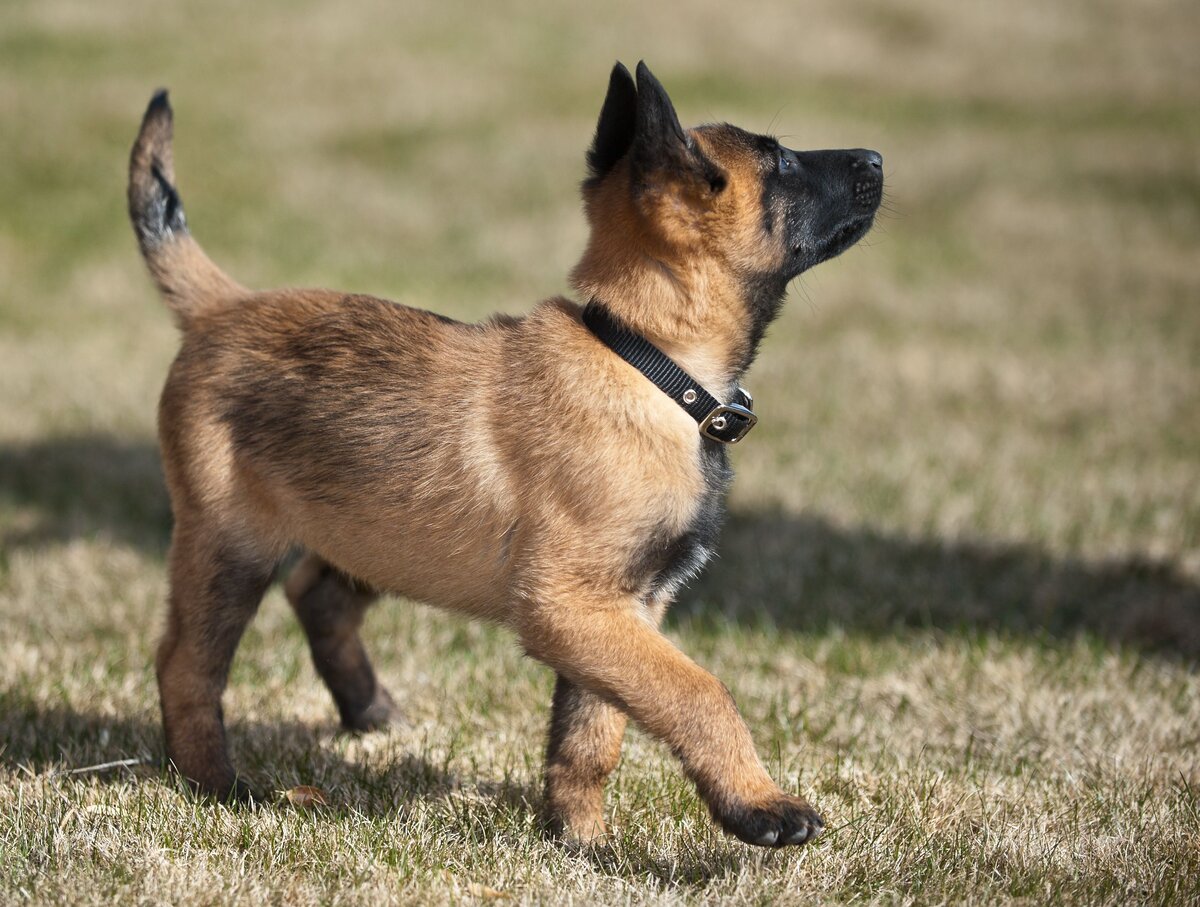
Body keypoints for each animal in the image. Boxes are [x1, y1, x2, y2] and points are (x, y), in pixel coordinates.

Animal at [129, 60, 883, 844]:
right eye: (782, 163)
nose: (877, 159)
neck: (649, 361)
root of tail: (222, 307)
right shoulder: (570, 606)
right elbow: (700, 692)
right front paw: (759, 805)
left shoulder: (625, 609)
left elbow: (590, 736)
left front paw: (579, 839)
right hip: (233, 543)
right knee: (186, 664)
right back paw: (218, 784)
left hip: (382, 526)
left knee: (314, 593)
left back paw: (369, 712)